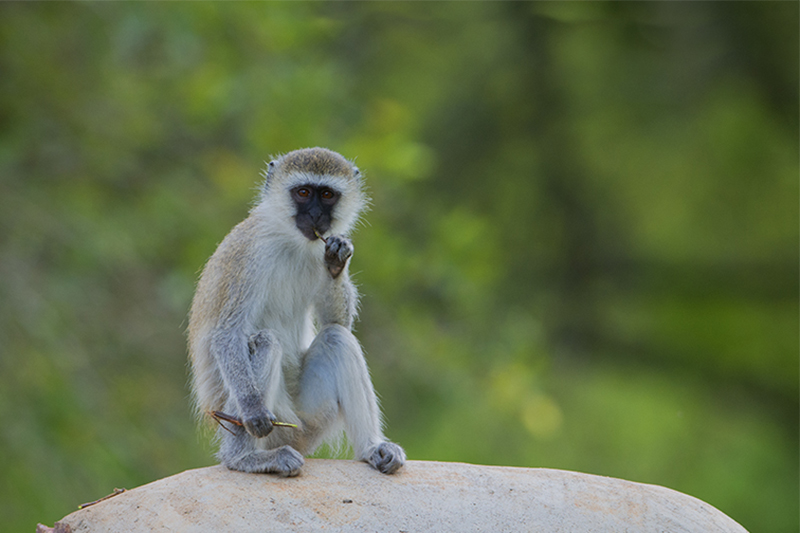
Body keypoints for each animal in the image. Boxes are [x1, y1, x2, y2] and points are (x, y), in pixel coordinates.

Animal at [187, 147, 405, 477]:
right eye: (303, 193)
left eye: (327, 195)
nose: (315, 216)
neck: (291, 240)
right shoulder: (247, 255)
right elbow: (227, 334)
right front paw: (252, 411)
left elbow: (338, 322)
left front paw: (337, 258)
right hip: (270, 420)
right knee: (264, 341)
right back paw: (243, 458)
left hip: (311, 418)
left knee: (337, 338)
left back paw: (373, 448)